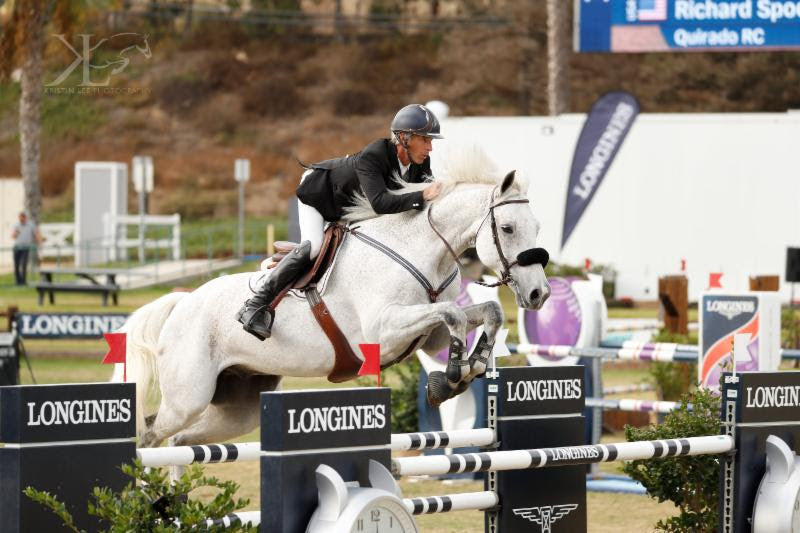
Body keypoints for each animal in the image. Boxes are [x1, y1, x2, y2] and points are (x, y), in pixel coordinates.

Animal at [125, 147, 552, 448]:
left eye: (537, 227)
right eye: (508, 228)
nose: (539, 294)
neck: (421, 248)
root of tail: (182, 302)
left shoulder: (427, 335)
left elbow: (486, 311)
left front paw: (472, 366)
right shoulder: (384, 332)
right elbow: (454, 314)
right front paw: (451, 377)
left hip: (237, 407)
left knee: (181, 441)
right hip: (188, 396)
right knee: (151, 434)